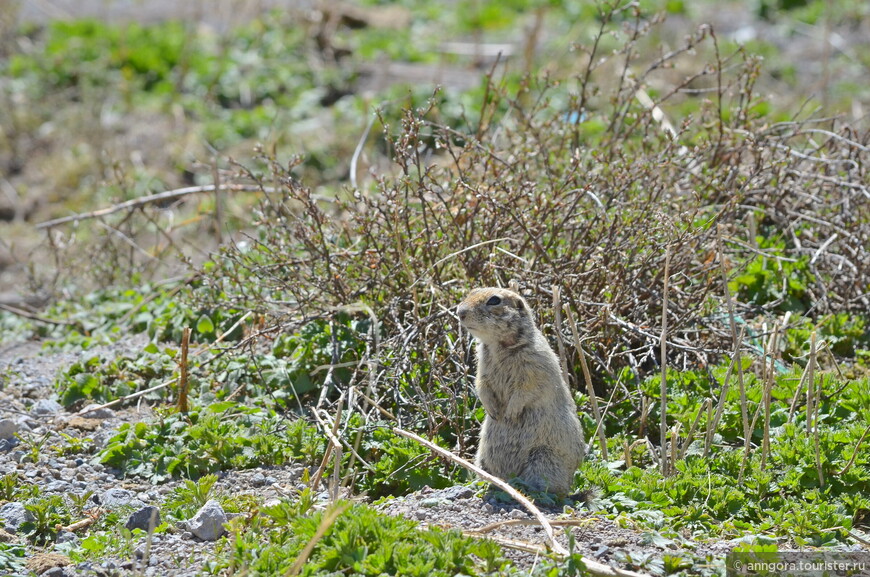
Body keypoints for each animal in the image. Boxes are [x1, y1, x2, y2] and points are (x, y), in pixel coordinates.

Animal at [456, 286, 584, 496]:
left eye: (494, 300)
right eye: (472, 292)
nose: (460, 312)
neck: (500, 346)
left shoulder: (534, 365)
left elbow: (525, 390)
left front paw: (510, 414)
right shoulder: (483, 365)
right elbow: (482, 385)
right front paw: (493, 411)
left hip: (543, 459)